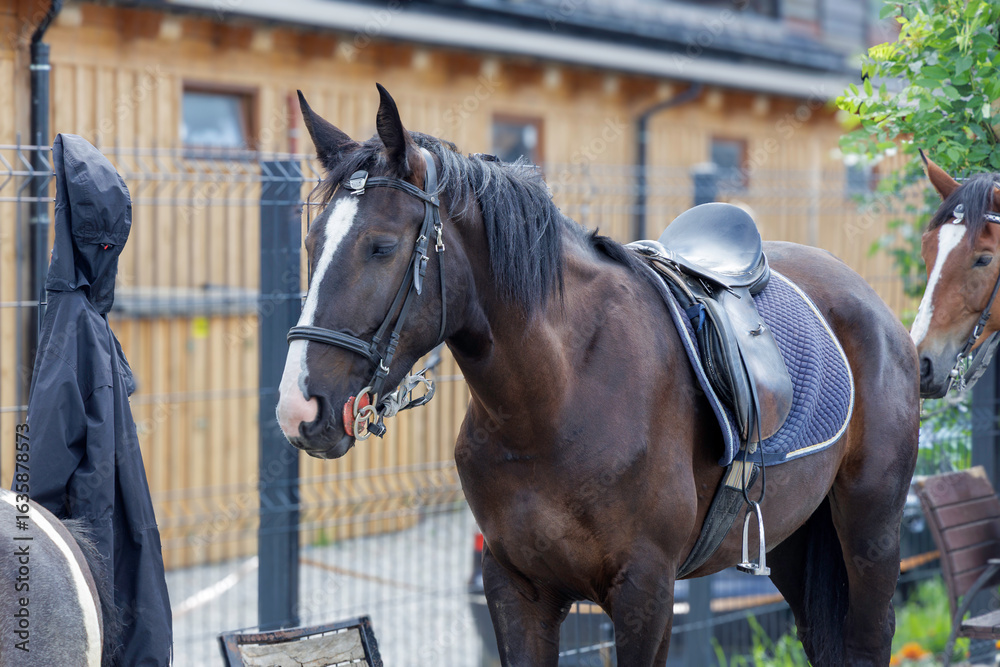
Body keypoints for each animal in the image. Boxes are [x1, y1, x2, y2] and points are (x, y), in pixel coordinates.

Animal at [276, 83, 919, 666]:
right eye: (310, 241)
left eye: (382, 247)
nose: (299, 409)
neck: (557, 400)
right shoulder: (516, 588)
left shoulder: (646, 593)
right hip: (793, 537)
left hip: (871, 531)